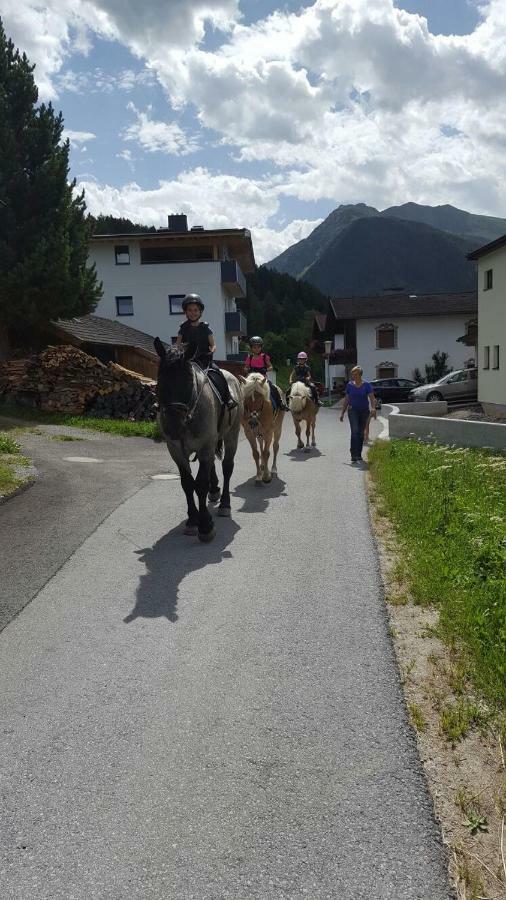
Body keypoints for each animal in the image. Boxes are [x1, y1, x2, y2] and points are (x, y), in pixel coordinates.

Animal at [153, 340, 242, 540]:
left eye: (188, 381)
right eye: (160, 381)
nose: (173, 426)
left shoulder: (205, 446)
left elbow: (200, 484)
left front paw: (205, 525)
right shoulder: (176, 450)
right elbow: (187, 484)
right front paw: (193, 520)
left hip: (231, 435)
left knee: (227, 467)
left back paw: (225, 503)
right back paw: (215, 491)